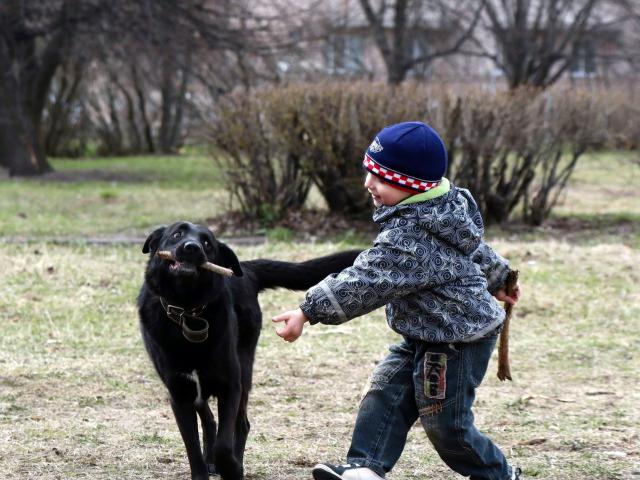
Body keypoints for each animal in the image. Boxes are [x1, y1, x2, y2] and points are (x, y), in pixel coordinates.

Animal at [138, 222, 362, 480]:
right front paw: (204, 469)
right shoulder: (179, 394)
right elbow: (191, 446)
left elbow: (224, 445)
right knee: (209, 419)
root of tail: (246, 268)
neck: (189, 311)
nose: (192, 248)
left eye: (207, 243)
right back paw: (210, 460)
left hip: (245, 371)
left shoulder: (231, 386)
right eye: (177, 234)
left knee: (241, 424)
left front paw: (232, 468)